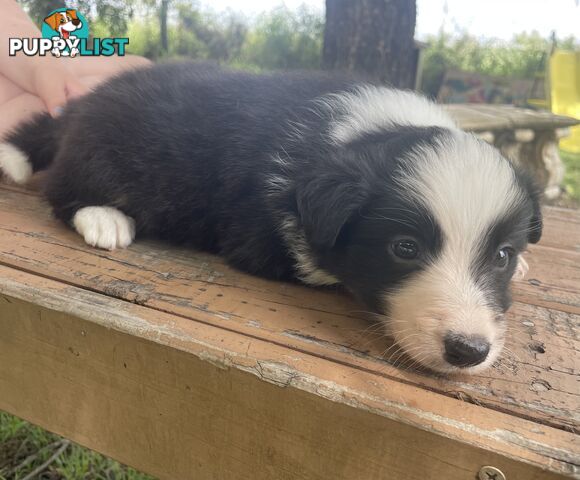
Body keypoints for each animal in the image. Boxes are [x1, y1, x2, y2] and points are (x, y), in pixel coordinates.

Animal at [1, 61, 544, 376]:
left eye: (499, 254)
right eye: (404, 248)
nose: (469, 351)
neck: (358, 134)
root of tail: (79, 108)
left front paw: (522, 266)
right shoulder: (258, 232)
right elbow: (319, 264)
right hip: (103, 151)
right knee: (65, 187)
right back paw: (103, 217)